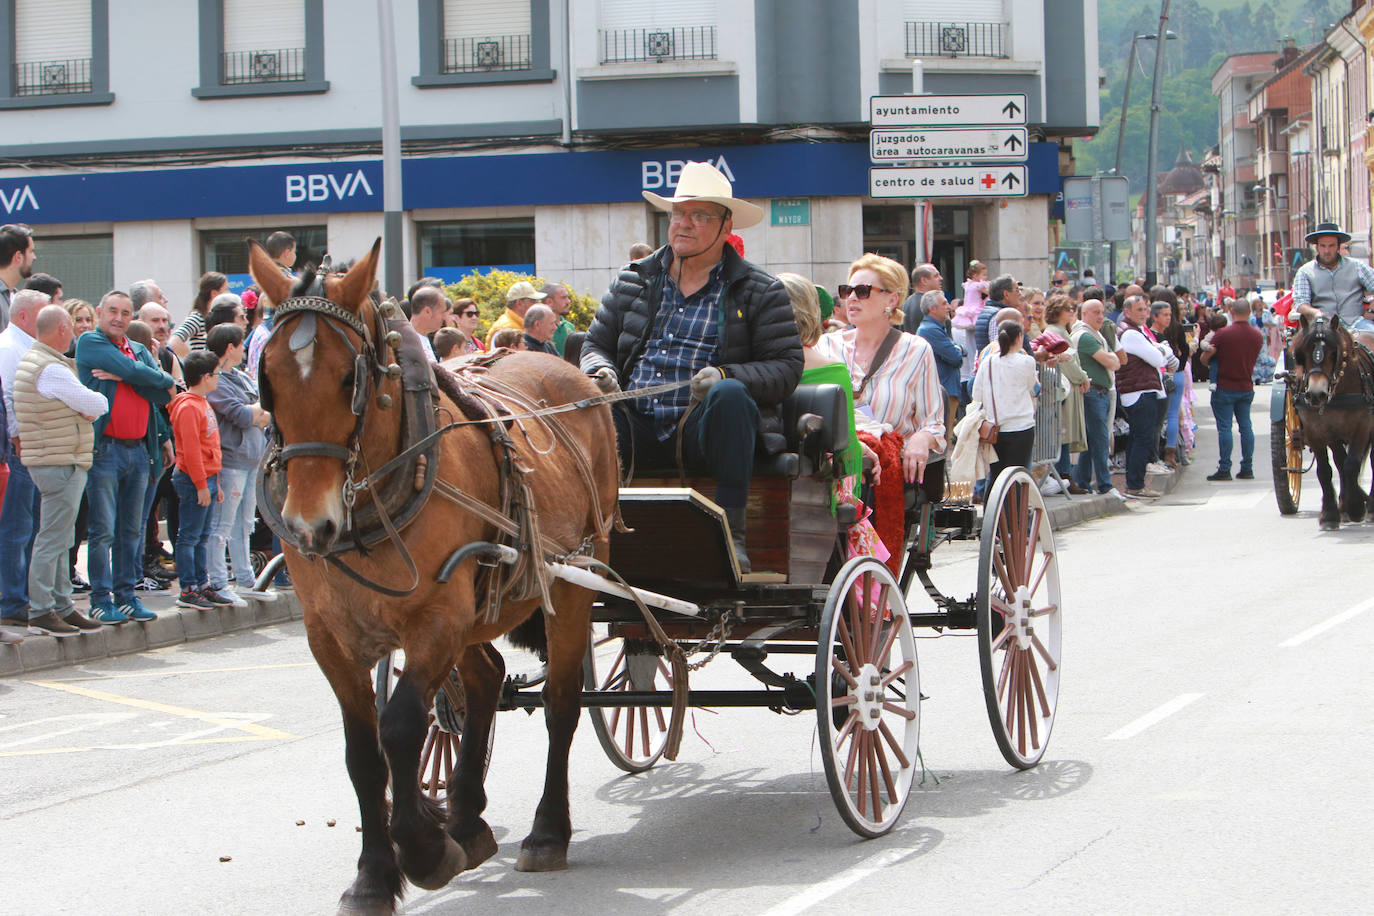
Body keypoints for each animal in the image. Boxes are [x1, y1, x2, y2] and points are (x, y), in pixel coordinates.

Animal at [250, 240, 621, 911]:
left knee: (560, 702)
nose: (309, 526)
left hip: (574, 578)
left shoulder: (436, 618)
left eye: (349, 380)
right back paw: (468, 820)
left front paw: (423, 852)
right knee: (484, 680)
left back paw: (545, 831)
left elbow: (399, 726)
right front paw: (374, 877)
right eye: (267, 378)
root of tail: (571, 373)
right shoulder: (330, 636)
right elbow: (363, 752)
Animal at [1286, 315, 1374, 530]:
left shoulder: (1362, 427)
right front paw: (1331, 514)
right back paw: (1345, 507)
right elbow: (1326, 470)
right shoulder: (1318, 431)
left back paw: (1369, 507)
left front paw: (1357, 507)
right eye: (1302, 354)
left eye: (1335, 353)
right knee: (1340, 463)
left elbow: (1351, 465)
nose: (1316, 395)